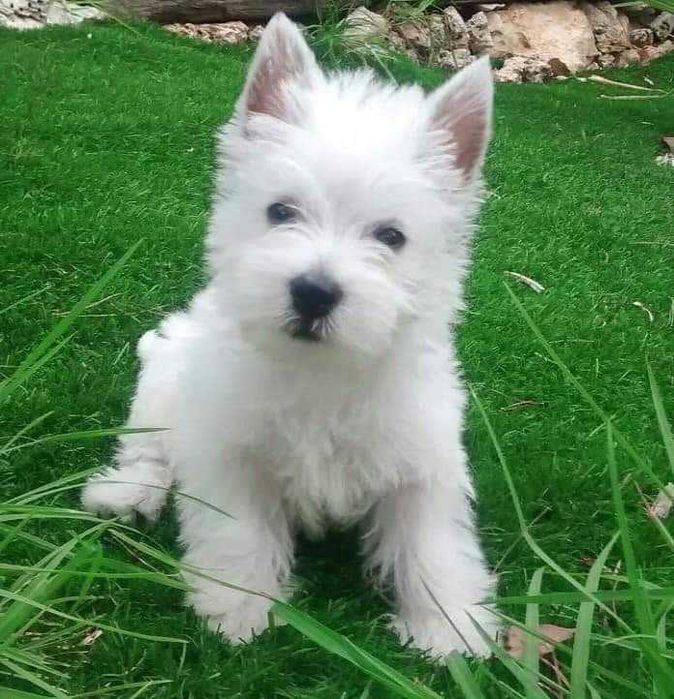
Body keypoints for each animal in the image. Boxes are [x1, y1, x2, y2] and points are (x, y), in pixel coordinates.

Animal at [81, 15, 496, 660]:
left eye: (392, 236)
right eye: (280, 212)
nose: (314, 292)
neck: (320, 370)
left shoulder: (421, 464)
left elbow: (433, 547)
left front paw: (448, 629)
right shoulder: (232, 455)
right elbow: (240, 534)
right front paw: (238, 613)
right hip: (163, 386)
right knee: (148, 450)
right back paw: (125, 494)